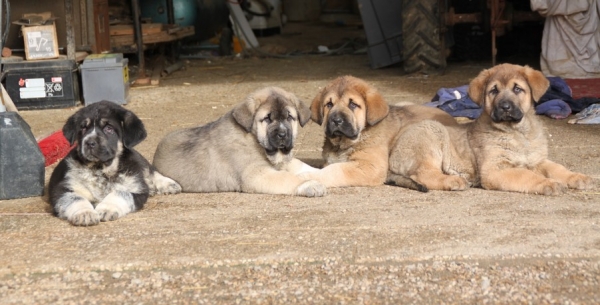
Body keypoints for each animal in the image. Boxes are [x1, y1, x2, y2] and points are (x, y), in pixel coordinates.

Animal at [48, 101, 180, 224]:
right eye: (83, 128)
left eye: (109, 129)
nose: (89, 143)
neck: (101, 169)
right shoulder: (63, 188)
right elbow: (76, 198)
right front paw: (85, 213)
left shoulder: (138, 189)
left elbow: (119, 192)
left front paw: (106, 209)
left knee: (149, 169)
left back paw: (169, 184)